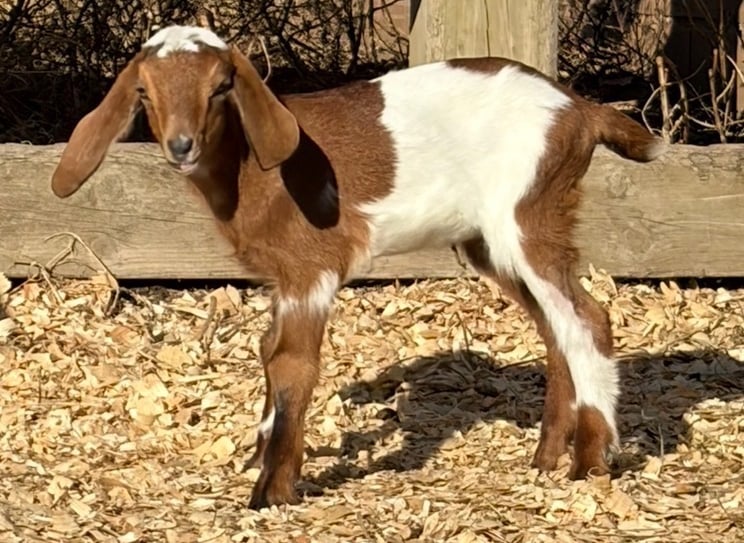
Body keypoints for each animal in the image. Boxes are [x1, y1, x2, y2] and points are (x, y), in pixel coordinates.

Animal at [50, 25, 666, 509]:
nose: (181, 145)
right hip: (491, 240)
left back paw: (590, 462)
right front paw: (262, 456)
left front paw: (271, 491)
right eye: (144, 91)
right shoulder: (281, 280)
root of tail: (581, 111)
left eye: (221, 86)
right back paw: (546, 457)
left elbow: (292, 364)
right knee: (555, 325)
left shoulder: (311, 268)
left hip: (528, 213)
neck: (250, 169)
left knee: (586, 318)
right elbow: (268, 352)